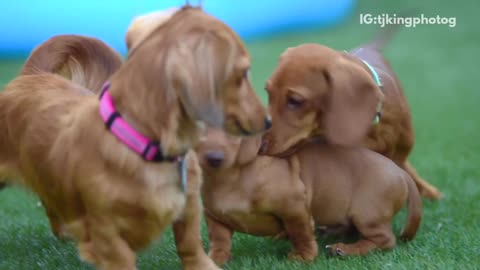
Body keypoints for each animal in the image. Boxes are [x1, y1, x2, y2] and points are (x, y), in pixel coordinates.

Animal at [0, 6, 270, 270]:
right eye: (244, 73)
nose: (268, 122)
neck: (149, 150)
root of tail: (30, 77)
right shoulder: (105, 229)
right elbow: (120, 255)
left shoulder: (190, 205)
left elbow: (190, 244)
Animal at [195, 129, 420, 266]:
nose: (214, 158)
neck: (229, 180)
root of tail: (402, 173)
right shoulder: (214, 217)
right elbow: (220, 240)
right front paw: (213, 259)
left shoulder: (294, 208)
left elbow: (301, 233)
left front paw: (303, 256)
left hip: (367, 215)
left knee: (384, 240)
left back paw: (344, 249)